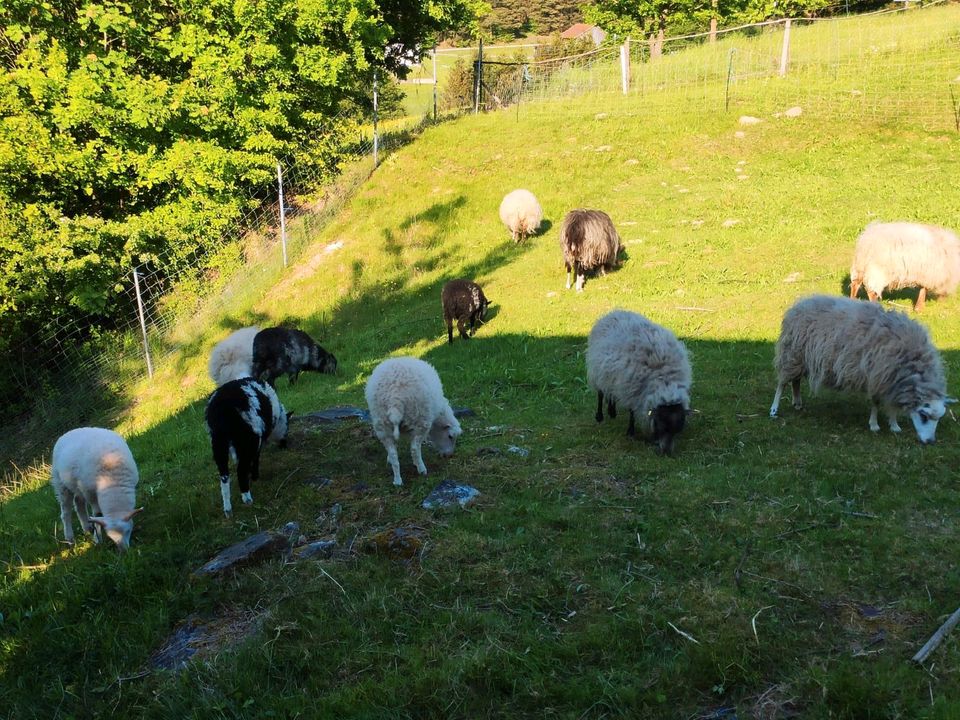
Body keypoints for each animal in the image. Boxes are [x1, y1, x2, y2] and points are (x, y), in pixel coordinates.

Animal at [205, 376, 288, 516]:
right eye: (287, 427)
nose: (285, 444)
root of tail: (221, 407)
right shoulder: (257, 440)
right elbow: (256, 458)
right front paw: (254, 476)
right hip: (248, 436)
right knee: (241, 469)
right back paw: (247, 497)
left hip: (218, 441)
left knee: (224, 475)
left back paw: (228, 509)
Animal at [364, 358, 462, 486]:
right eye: (450, 436)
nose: (448, 455)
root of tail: (395, 397)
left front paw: (389, 459)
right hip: (419, 419)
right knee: (415, 448)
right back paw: (421, 469)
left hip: (381, 422)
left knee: (393, 452)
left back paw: (397, 481)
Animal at [584, 310, 688, 456]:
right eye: (661, 425)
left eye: (677, 429)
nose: (666, 452)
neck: (664, 379)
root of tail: (614, 311)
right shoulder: (632, 391)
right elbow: (632, 412)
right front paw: (630, 432)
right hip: (598, 371)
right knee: (601, 393)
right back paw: (600, 416)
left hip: (611, 375)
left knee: (611, 393)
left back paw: (612, 411)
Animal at [768, 294, 956, 442]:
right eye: (924, 415)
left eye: (939, 418)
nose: (930, 442)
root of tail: (799, 304)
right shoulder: (877, 376)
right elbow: (876, 403)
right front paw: (874, 425)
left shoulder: (891, 381)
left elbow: (892, 406)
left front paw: (894, 425)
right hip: (791, 354)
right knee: (782, 383)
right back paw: (774, 409)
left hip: (801, 360)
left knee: (796, 381)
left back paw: (798, 403)